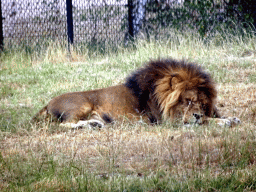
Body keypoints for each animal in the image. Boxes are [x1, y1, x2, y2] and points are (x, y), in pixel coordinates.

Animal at [32, 58, 240, 127]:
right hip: (81, 104)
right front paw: (223, 121)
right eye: (187, 100)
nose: (197, 114)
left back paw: (95, 123)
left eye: (203, 103)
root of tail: (47, 104)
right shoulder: (167, 121)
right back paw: (92, 124)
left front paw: (230, 118)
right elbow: (205, 121)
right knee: (64, 124)